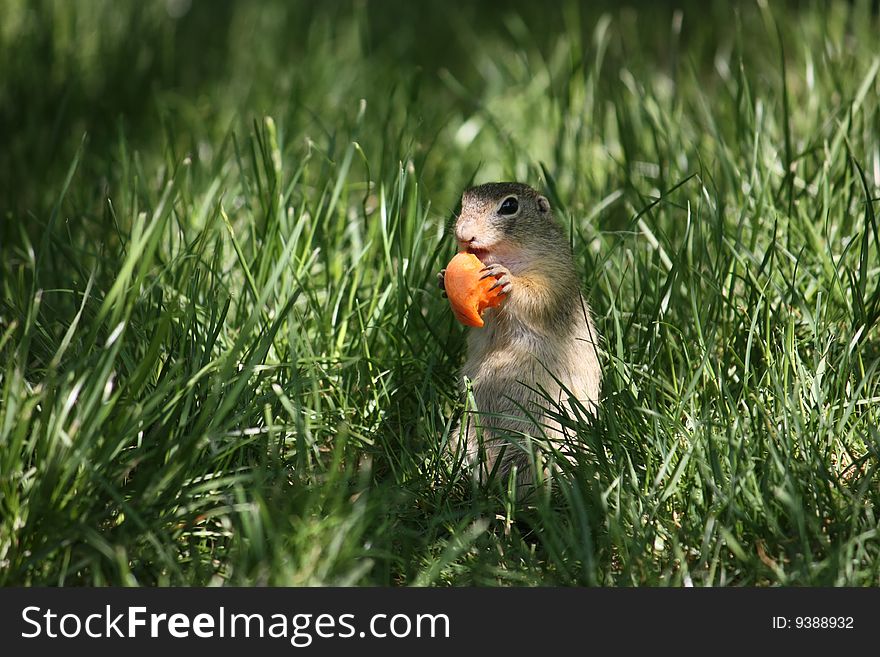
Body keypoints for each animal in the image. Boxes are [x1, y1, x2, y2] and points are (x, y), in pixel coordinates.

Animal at [438, 182, 600, 494]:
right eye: (463, 202)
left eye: (509, 206)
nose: (464, 234)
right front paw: (442, 279)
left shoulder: (554, 280)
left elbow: (536, 297)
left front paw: (507, 280)